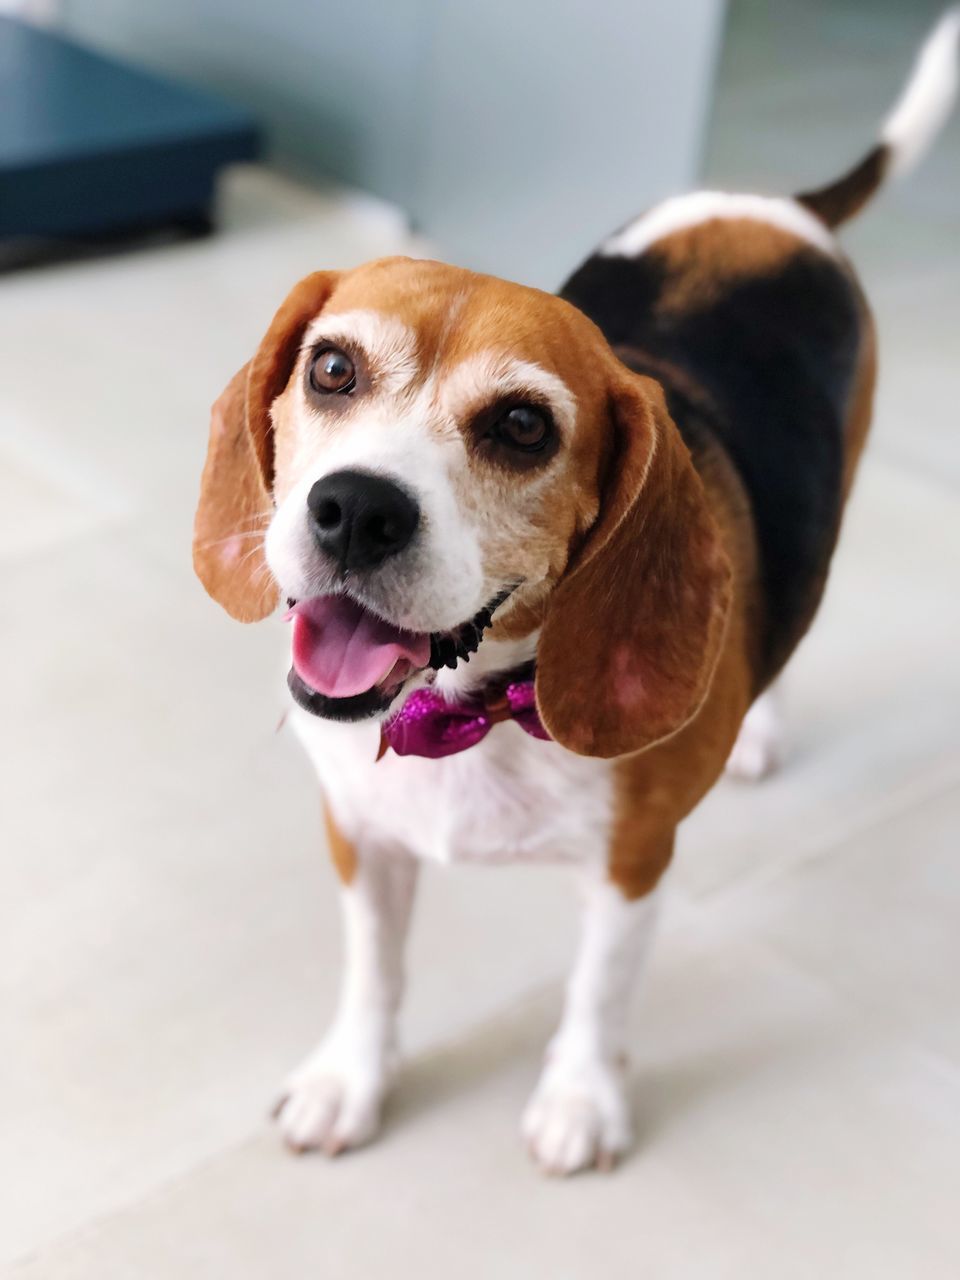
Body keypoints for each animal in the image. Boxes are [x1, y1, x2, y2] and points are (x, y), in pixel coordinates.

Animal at [192, 17, 957, 1177]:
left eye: (522, 426)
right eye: (330, 368)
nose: (355, 510)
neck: (471, 713)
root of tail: (779, 207)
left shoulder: (633, 862)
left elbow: (597, 992)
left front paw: (580, 1100)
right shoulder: (360, 831)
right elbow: (375, 970)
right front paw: (350, 1077)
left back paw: (761, 723)